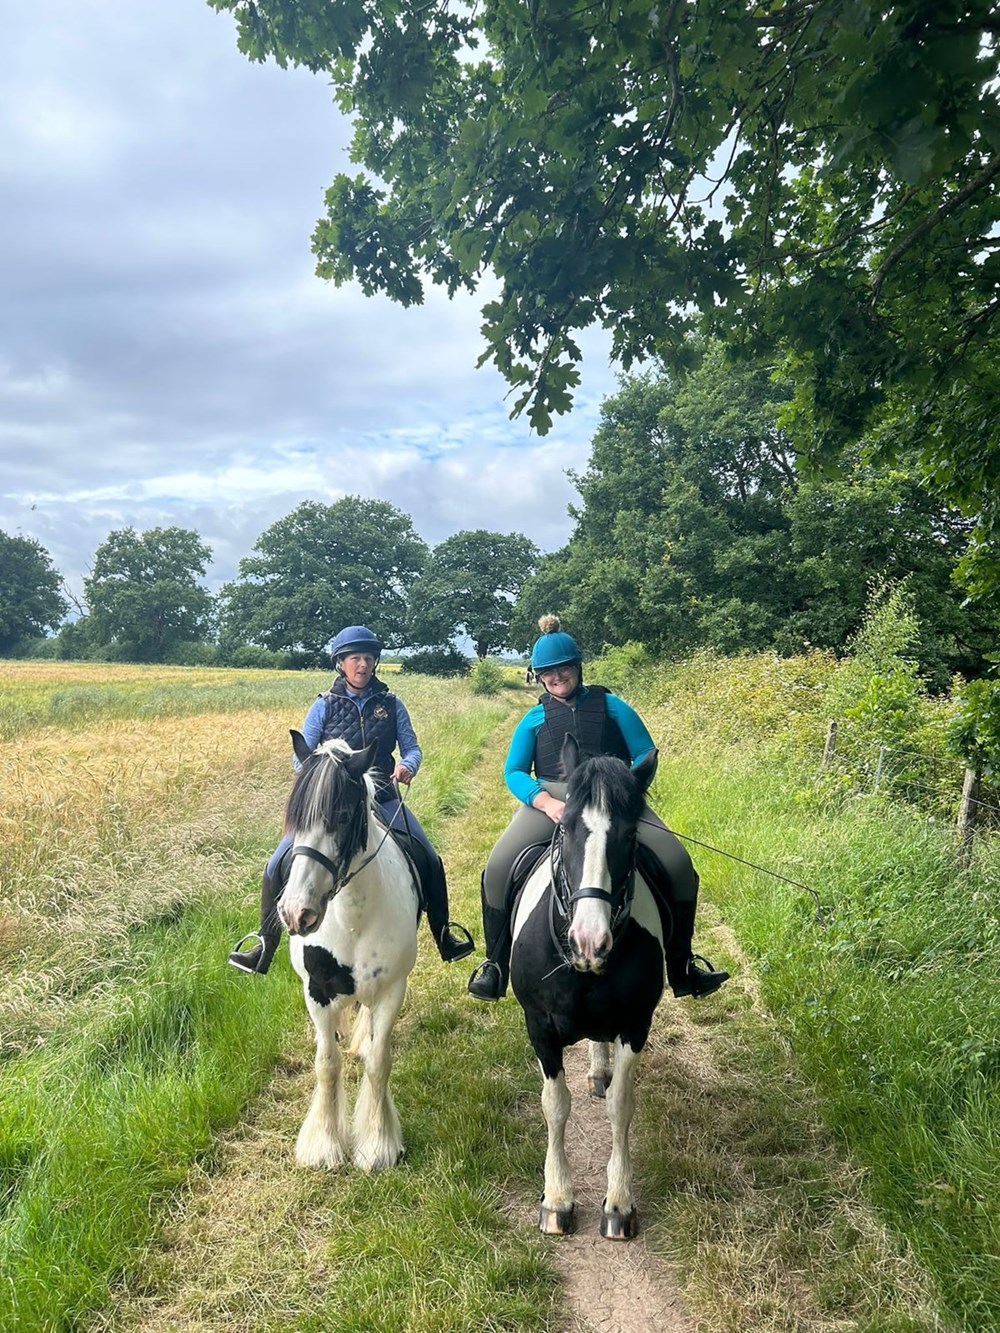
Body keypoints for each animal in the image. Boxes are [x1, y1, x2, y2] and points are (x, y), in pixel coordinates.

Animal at [509, 735, 666, 1231]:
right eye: (566, 828)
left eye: (630, 835)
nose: (588, 941)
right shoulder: (539, 1026)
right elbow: (555, 1105)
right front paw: (557, 1198)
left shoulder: (636, 1023)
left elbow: (621, 1106)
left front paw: (619, 1202)